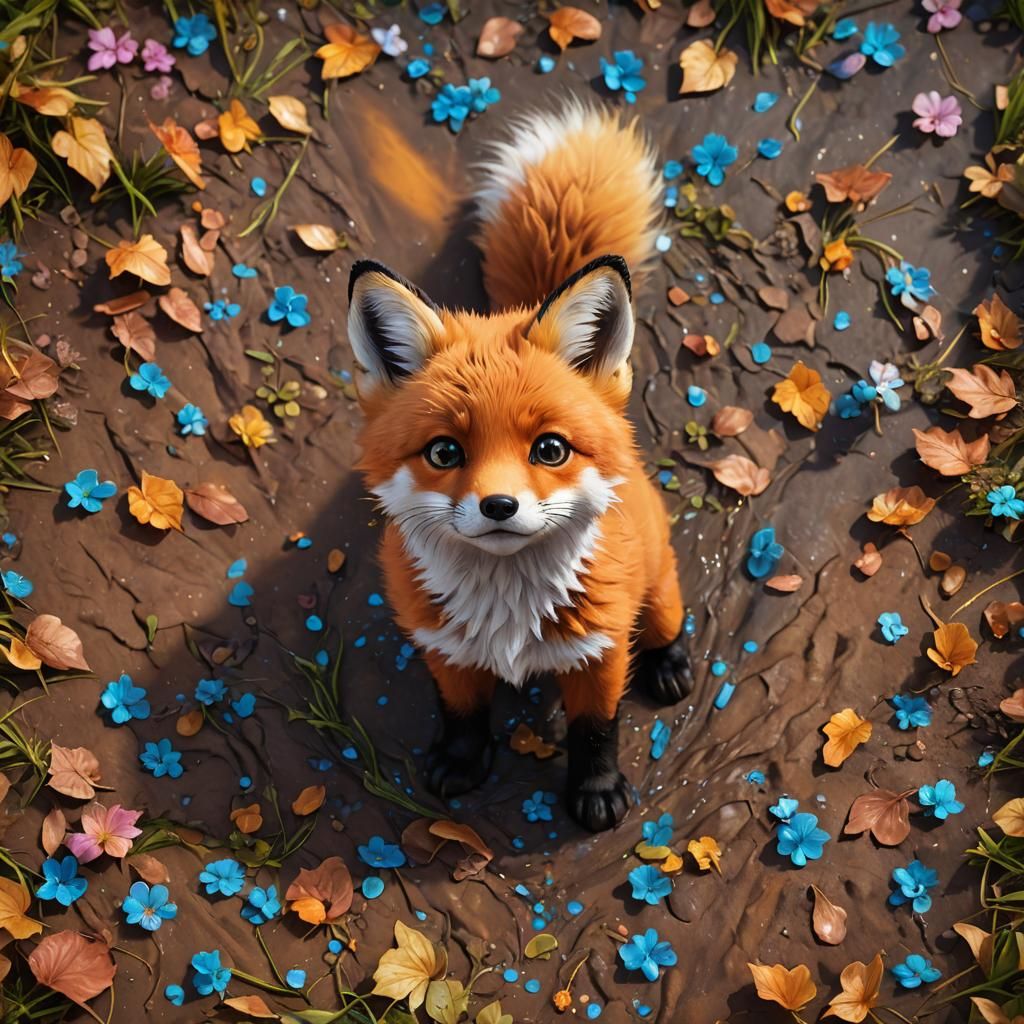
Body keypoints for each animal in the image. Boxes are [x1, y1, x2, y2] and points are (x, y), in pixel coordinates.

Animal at [346, 101, 692, 832]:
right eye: (445, 452)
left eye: (550, 449)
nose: (498, 506)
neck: (509, 617)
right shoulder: (443, 646)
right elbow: (462, 712)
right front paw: (460, 760)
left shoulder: (600, 651)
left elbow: (597, 729)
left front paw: (596, 791)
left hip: (656, 585)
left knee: (667, 615)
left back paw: (671, 661)